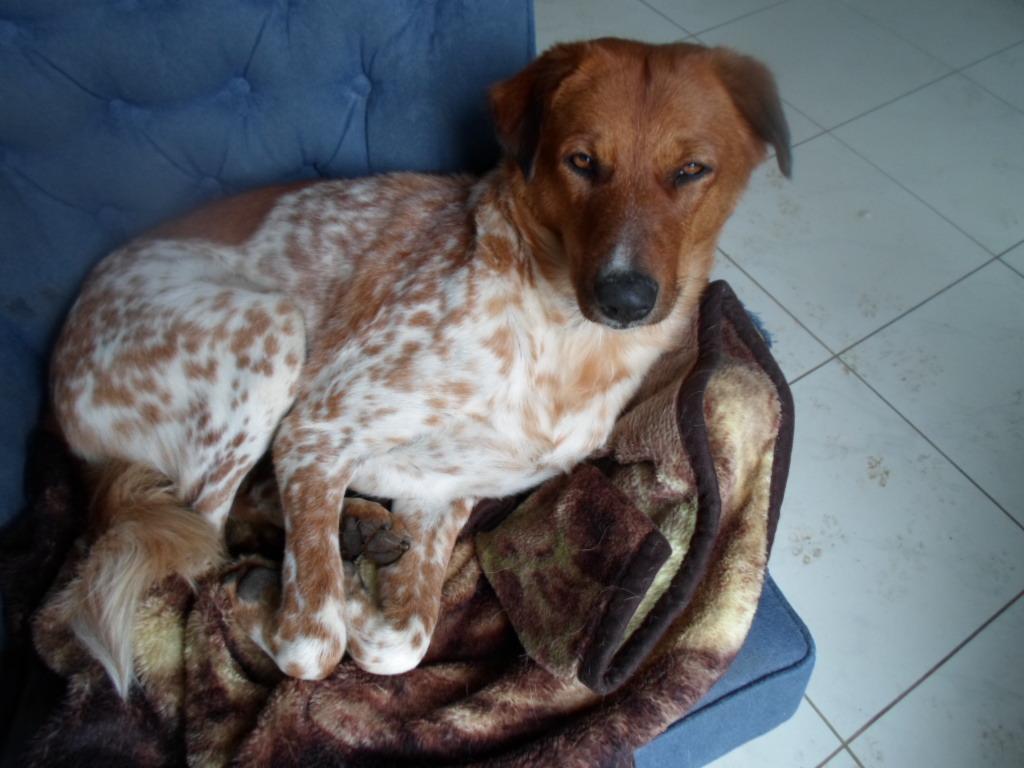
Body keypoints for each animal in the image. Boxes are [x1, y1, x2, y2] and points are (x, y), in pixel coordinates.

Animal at [49, 37, 790, 696]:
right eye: (581, 161)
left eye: (691, 171)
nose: (625, 298)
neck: (564, 347)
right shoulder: (315, 430)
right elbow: (314, 644)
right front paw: (299, 602)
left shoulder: (438, 493)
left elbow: (402, 642)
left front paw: (353, 589)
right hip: (271, 328)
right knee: (201, 540)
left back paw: (352, 531)